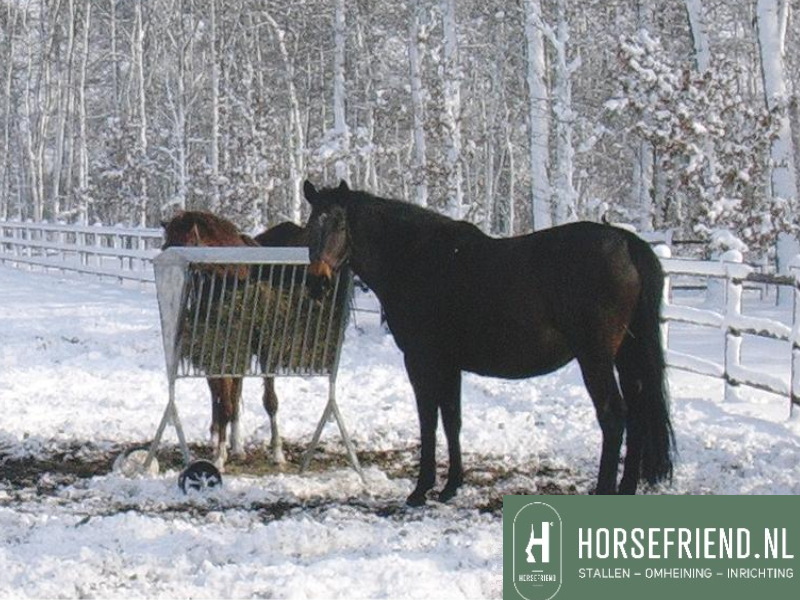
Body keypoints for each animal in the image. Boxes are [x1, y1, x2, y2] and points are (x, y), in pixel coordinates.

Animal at [161, 211, 306, 469]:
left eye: (184, 249)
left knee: (235, 394)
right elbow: (223, 405)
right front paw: (218, 454)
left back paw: (237, 445)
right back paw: (219, 440)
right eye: (164, 247)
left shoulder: (259, 348)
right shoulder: (218, 354)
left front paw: (277, 452)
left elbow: (268, 400)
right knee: (220, 399)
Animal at [302, 180, 674, 505]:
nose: (317, 283)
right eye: (310, 225)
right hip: (627, 355)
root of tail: (625, 241)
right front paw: (451, 486)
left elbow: (428, 421)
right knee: (638, 410)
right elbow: (452, 419)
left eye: (339, 223)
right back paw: (626, 488)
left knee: (613, 415)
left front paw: (421, 490)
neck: (414, 257)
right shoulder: (450, 365)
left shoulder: (422, 361)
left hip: (595, 358)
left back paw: (604, 490)